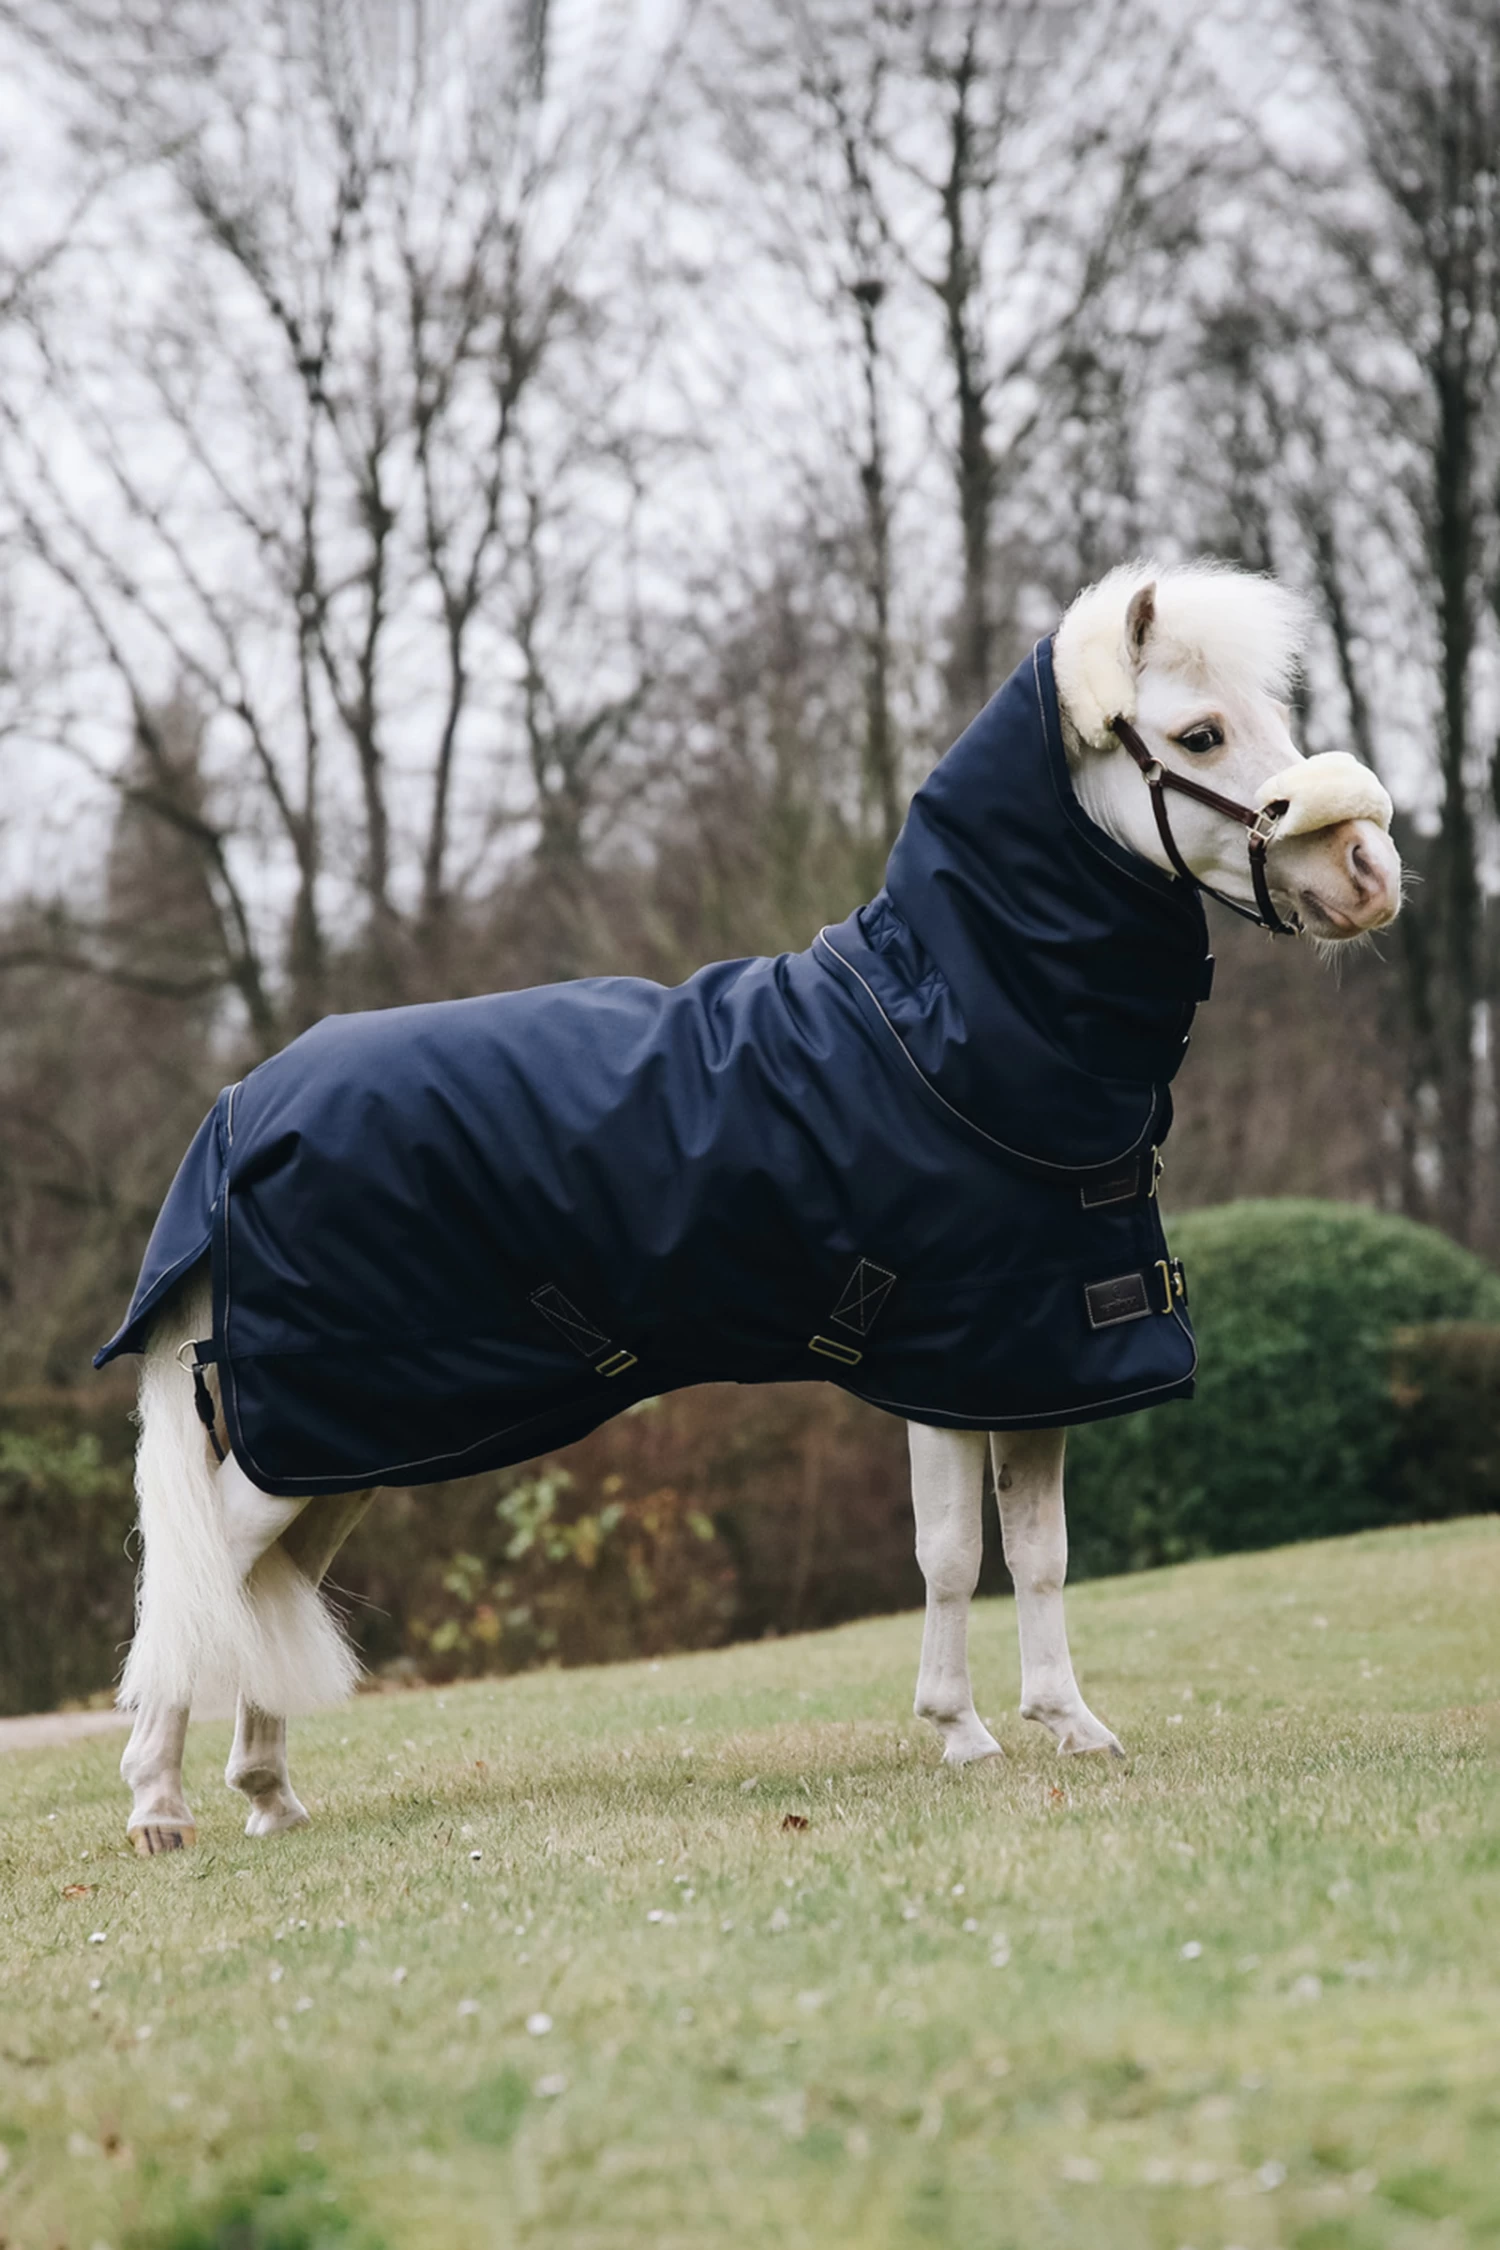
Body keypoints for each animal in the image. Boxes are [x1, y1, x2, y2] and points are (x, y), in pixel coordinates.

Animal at [101, 560, 1401, 1852]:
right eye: (1201, 734)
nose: (1367, 875)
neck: (954, 1032)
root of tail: (237, 1115)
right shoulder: (950, 1367)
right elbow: (949, 1555)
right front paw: (962, 1732)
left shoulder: (1038, 1367)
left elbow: (1038, 1555)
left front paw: (1070, 1726)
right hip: (310, 1441)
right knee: (196, 1576)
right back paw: (158, 1805)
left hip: (341, 1442)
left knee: (263, 1586)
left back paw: (267, 1793)